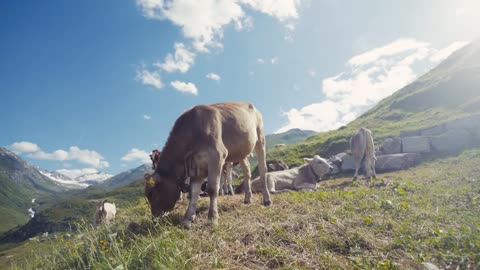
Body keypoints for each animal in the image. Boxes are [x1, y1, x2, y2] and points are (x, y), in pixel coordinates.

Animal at [142, 102, 272, 229]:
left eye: (151, 194)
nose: (154, 219)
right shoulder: (196, 165)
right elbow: (194, 192)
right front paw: (188, 218)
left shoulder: (217, 155)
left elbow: (212, 189)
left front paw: (212, 218)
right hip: (241, 151)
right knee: (247, 171)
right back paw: (248, 198)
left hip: (260, 139)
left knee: (262, 168)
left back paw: (267, 199)